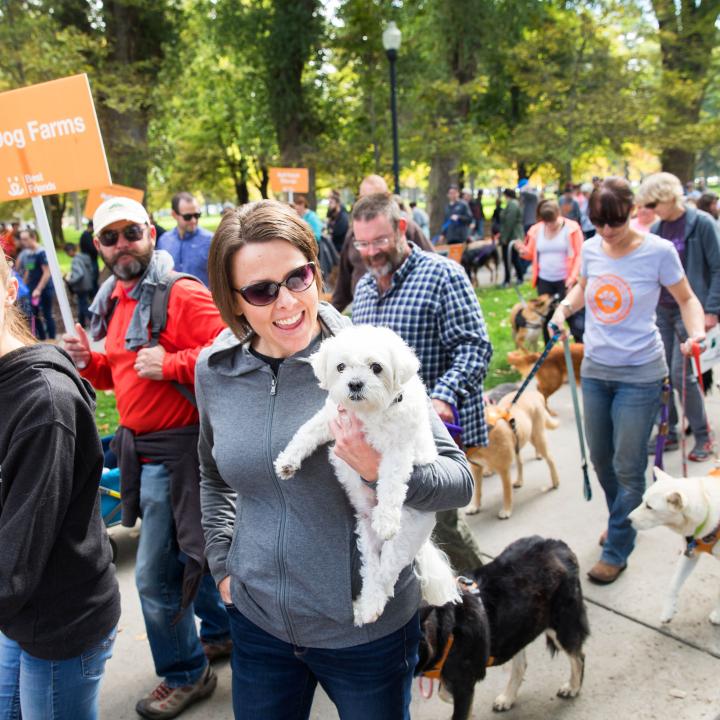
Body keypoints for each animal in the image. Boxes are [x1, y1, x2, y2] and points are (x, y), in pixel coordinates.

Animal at [272, 324, 458, 624]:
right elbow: (306, 432)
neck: (369, 413)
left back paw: (373, 605)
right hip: (364, 536)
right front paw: (287, 462)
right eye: (340, 367)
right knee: (371, 571)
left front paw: (386, 519)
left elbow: (391, 484)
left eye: (376, 367)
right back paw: (367, 605)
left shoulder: (397, 451)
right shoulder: (331, 418)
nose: (355, 384)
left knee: (386, 575)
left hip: (405, 537)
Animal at [416, 536, 592, 716]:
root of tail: (560, 545)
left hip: (561, 625)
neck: (448, 626)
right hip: (521, 626)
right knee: (521, 664)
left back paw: (572, 687)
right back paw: (508, 698)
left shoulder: (463, 686)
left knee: (579, 656)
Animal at [464, 388, 560, 516]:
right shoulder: (476, 468)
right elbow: (477, 491)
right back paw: (519, 481)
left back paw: (555, 482)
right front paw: (475, 506)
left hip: (537, 438)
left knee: (550, 459)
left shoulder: (504, 469)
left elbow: (506, 491)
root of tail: (533, 393)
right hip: (518, 442)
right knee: (521, 462)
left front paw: (506, 510)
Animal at [628, 466, 720, 624]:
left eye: (649, 507)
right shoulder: (689, 554)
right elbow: (673, 584)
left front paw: (718, 614)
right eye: (642, 501)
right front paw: (668, 610)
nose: (627, 519)